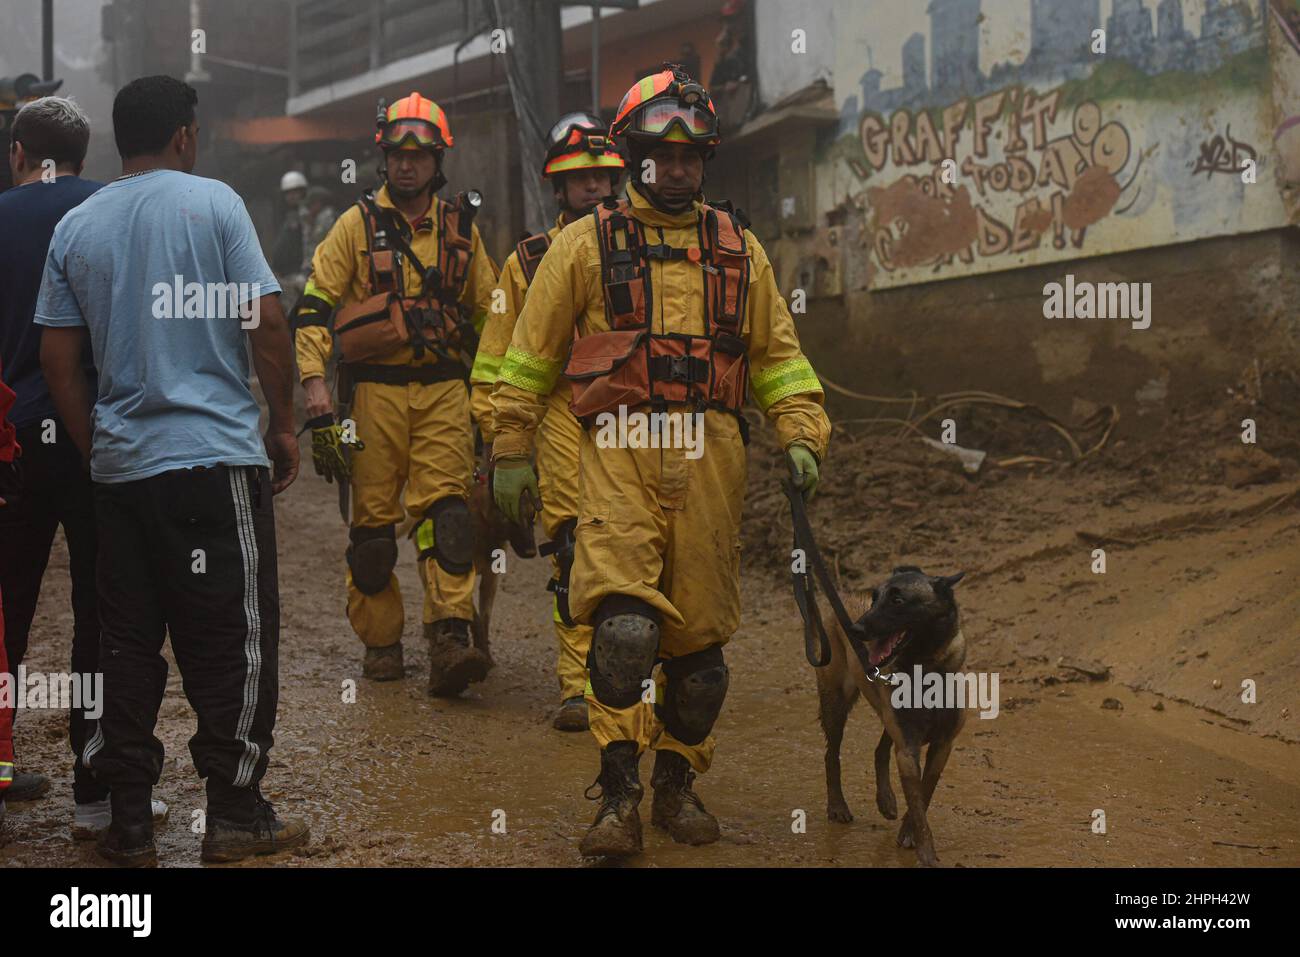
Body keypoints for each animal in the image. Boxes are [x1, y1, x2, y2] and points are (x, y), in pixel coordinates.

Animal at [816, 564, 972, 868]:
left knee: (879, 750)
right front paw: (926, 853)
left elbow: (924, 793)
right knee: (831, 754)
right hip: (836, 703)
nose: (855, 629)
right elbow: (919, 804)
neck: (926, 669)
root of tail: (844, 595)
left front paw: (907, 833)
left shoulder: (941, 745)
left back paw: (886, 800)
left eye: (898, 600)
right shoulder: (908, 748)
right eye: (875, 599)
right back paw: (837, 806)